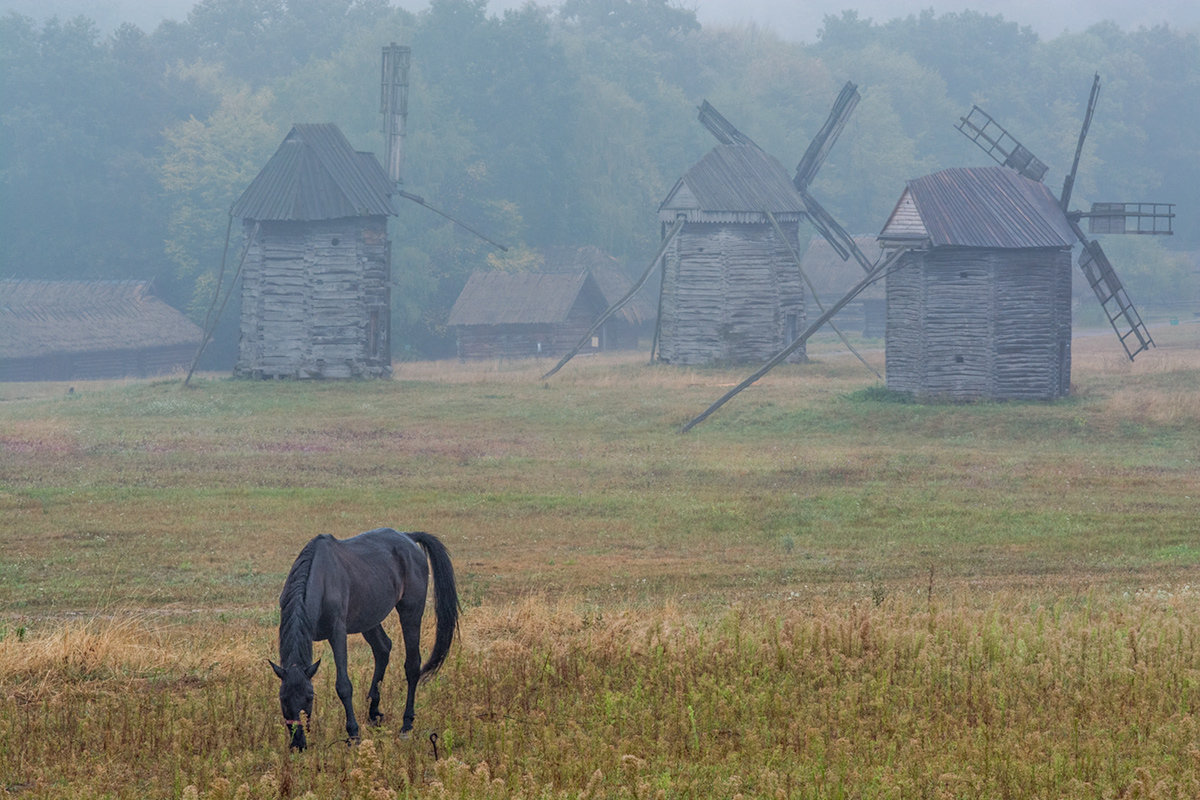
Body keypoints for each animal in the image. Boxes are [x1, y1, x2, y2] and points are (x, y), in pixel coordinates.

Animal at [271, 532, 458, 753]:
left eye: (310, 697)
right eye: (283, 699)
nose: (298, 744)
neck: (320, 578)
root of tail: (408, 537)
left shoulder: (337, 633)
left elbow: (343, 686)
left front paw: (353, 734)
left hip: (410, 612)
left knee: (412, 666)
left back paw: (406, 725)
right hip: (369, 618)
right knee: (383, 649)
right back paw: (374, 712)